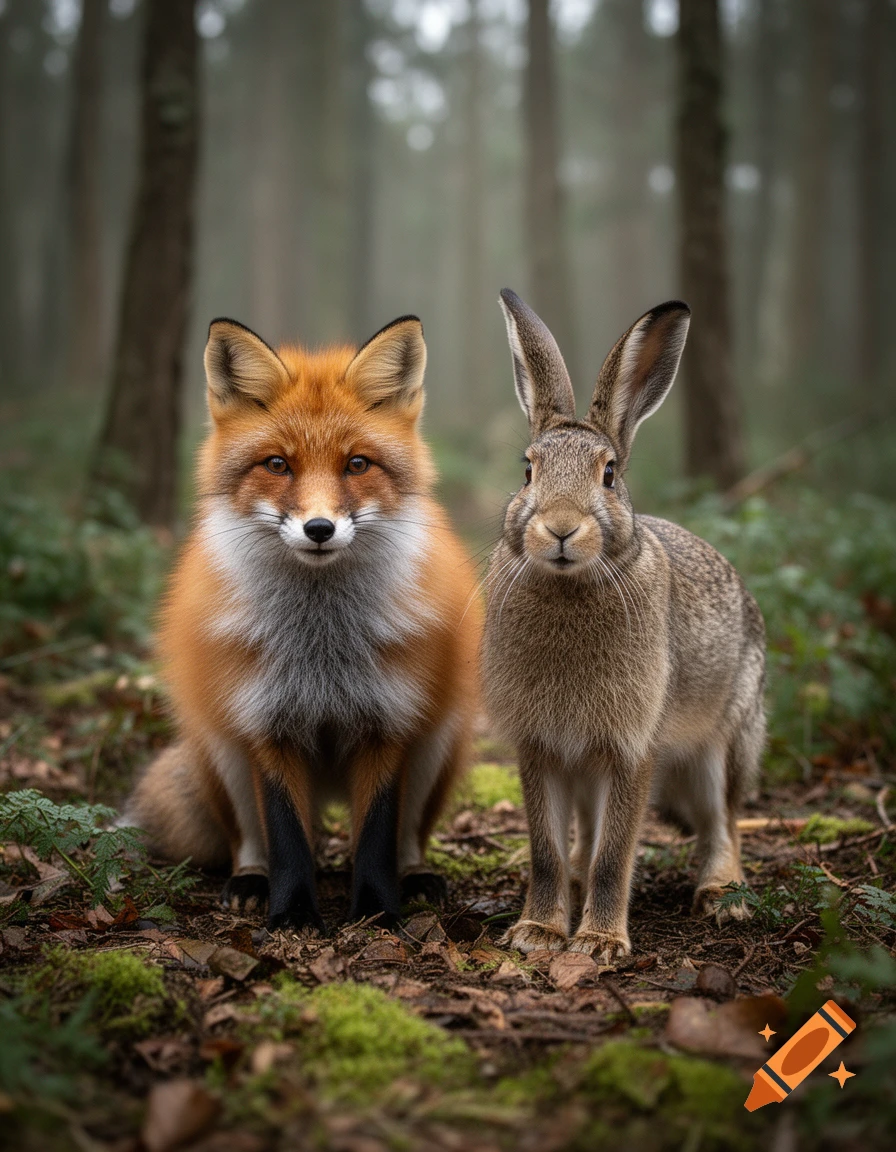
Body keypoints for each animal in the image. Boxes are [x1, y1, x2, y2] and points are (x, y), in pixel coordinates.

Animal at [125, 314, 482, 931]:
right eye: (278, 464)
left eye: (356, 464)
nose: (319, 529)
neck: (322, 647)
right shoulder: (266, 722)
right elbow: (288, 838)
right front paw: (292, 916)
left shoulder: (388, 722)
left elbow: (375, 839)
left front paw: (377, 914)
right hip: (219, 748)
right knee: (252, 841)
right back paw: (250, 882)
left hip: (438, 740)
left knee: (407, 838)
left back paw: (415, 879)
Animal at [482, 289, 766, 962]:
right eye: (527, 471)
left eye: (608, 474)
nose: (560, 528)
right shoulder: (543, 747)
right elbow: (546, 849)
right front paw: (537, 933)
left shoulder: (633, 747)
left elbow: (617, 853)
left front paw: (599, 943)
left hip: (726, 740)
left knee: (723, 819)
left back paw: (722, 896)